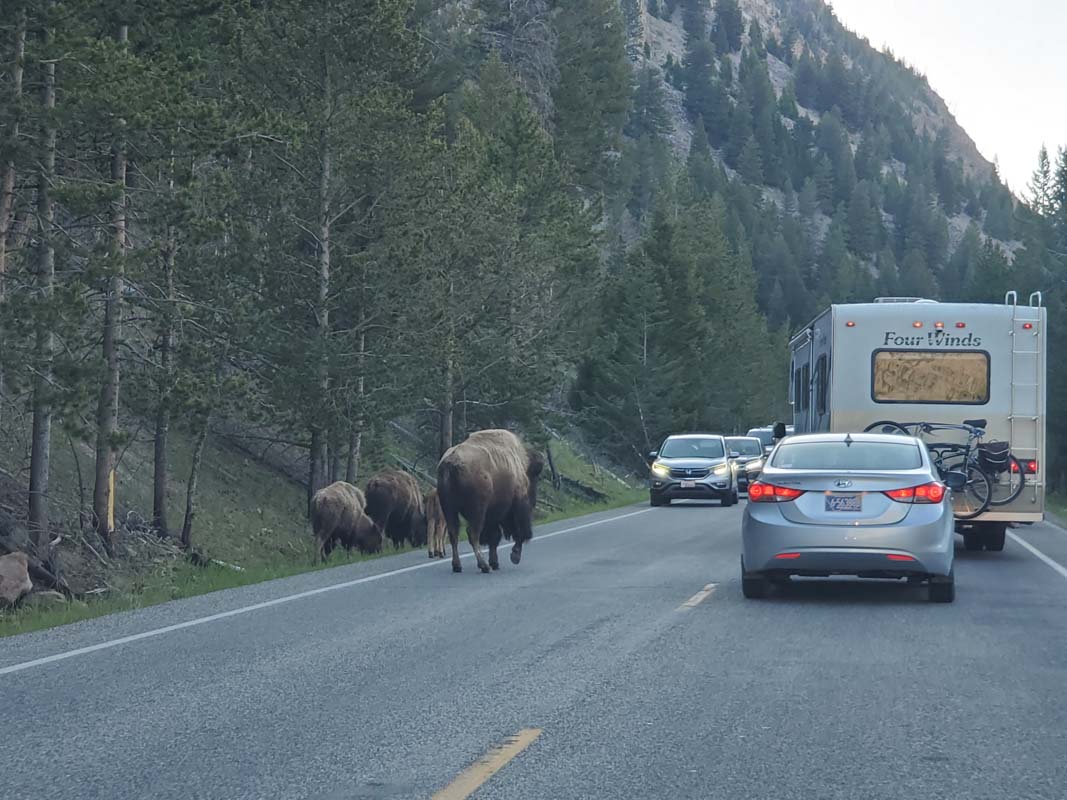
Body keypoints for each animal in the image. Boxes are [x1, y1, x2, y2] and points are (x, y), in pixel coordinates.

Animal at [437, 433, 546, 576]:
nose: (533, 502)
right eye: (534, 477)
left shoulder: (493, 516)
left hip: (449, 509)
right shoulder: (516, 507)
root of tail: (451, 462)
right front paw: (514, 556)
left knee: (453, 533)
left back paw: (457, 566)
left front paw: (495, 562)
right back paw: (483, 565)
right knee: (472, 534)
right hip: (477, 511)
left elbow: (494, 537)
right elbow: (519, 533)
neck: (520, 465)